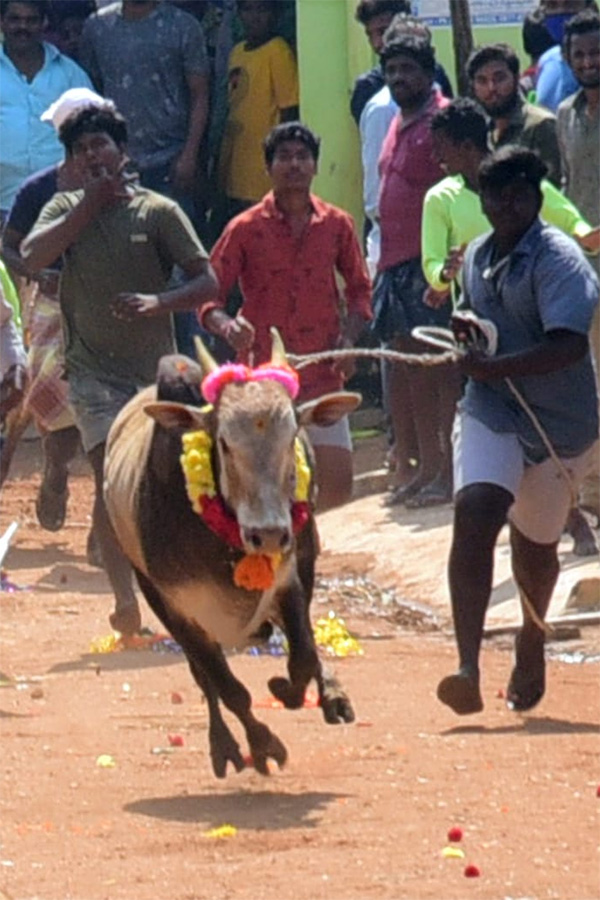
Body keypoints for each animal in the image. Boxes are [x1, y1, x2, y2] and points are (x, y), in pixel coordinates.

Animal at [103, 334, 358, 776]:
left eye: (292, 436)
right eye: (223, 441)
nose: (268, 534)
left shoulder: (291, 579)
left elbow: (304, 656)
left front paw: (288, 689)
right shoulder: (182, 610)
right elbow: (228, 689)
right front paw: (262, 745)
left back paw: (332, 696)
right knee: (205, 680)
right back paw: (222, 745)